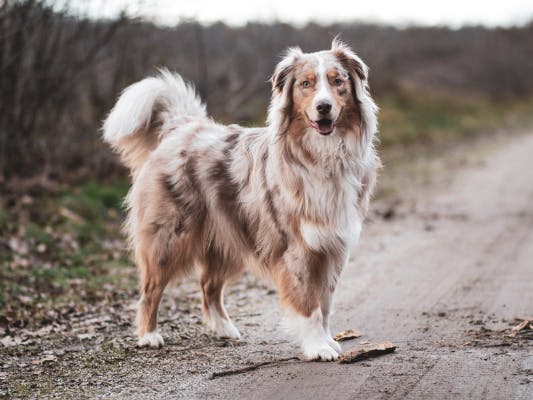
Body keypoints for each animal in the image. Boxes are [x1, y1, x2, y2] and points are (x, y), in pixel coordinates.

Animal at [103, 39, 378, 360]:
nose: (324, 107)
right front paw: (317, 346)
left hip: (228, 237)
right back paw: (149, 335)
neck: (323, 155)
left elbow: (325, 304)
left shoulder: (332, 247)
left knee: (208, 285)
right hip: (168, 238)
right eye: (306, 84)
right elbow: (308, 305)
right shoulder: (297, 249)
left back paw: (224, 328)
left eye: (338, 82)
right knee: (151, 289)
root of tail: (181, 127)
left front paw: (328, 340)